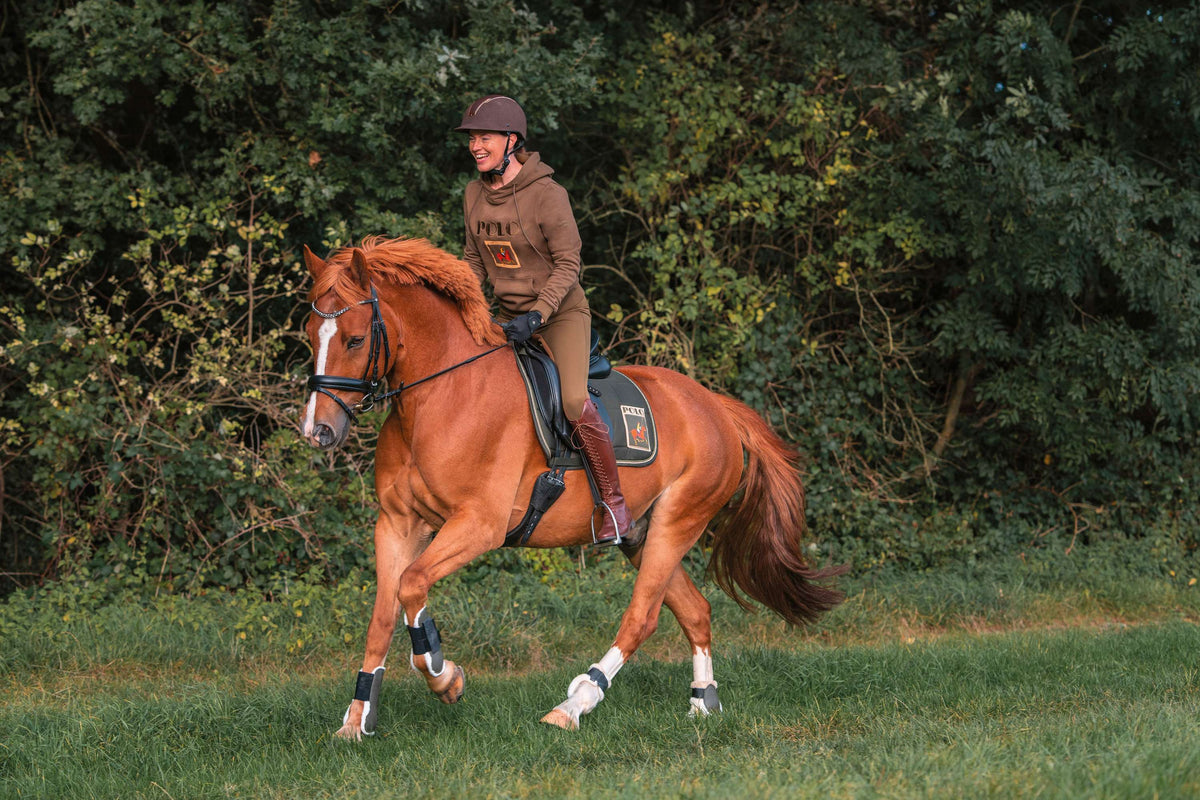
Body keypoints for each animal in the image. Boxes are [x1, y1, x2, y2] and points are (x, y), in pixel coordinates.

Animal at [298, 236, 844, 738]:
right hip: (642, 535)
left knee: (642, 617)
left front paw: (445, 677)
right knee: (696, 611)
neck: (439, 396)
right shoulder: (398, 524)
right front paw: (356, 720)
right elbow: (382, 617)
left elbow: (412, 585)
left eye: (353, 340)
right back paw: (701, 704)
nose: (318, 430)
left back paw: (574, 705)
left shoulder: (478, 524)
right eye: (308, 336)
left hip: (678, 521)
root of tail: (716, 406)